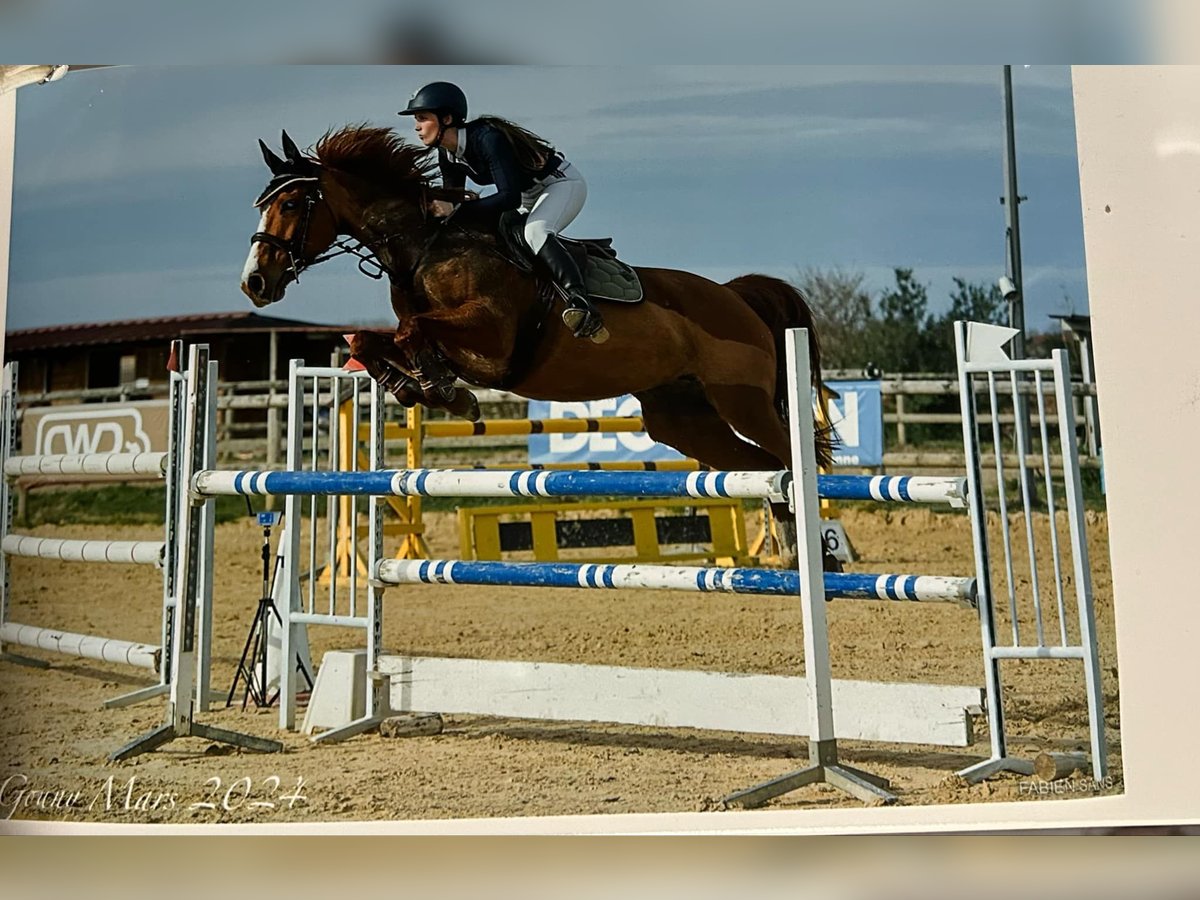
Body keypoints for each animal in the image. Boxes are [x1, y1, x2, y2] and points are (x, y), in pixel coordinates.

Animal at [242, 129, 835, 556]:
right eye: (264, 205)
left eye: (292, 204)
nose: (254, 283)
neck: (425, 248)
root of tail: (735, 295)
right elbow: (370, 340)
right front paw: (427, 389)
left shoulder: (491, 335)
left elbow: (414, 333)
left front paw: (444, 390)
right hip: (684, 415)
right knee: (760, 466)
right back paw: (796, 554)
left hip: (741, 400)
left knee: (787, 455)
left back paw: (822, 555)